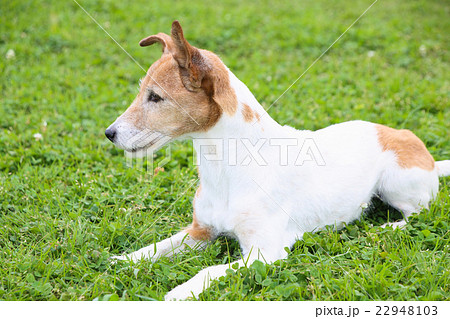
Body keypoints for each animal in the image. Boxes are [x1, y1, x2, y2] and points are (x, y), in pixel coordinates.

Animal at [105, 21, 450, 302]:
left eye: (156, 97)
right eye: (143, 92)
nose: (109, 133)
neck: (226, 168)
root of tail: (425, 153)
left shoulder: (265, 252)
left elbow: (209, 271)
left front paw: (180, 291)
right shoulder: (199, 232)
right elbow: (156, 248)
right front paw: (121, 261)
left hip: (396, 182)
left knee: (419, 212)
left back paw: (386, 228)